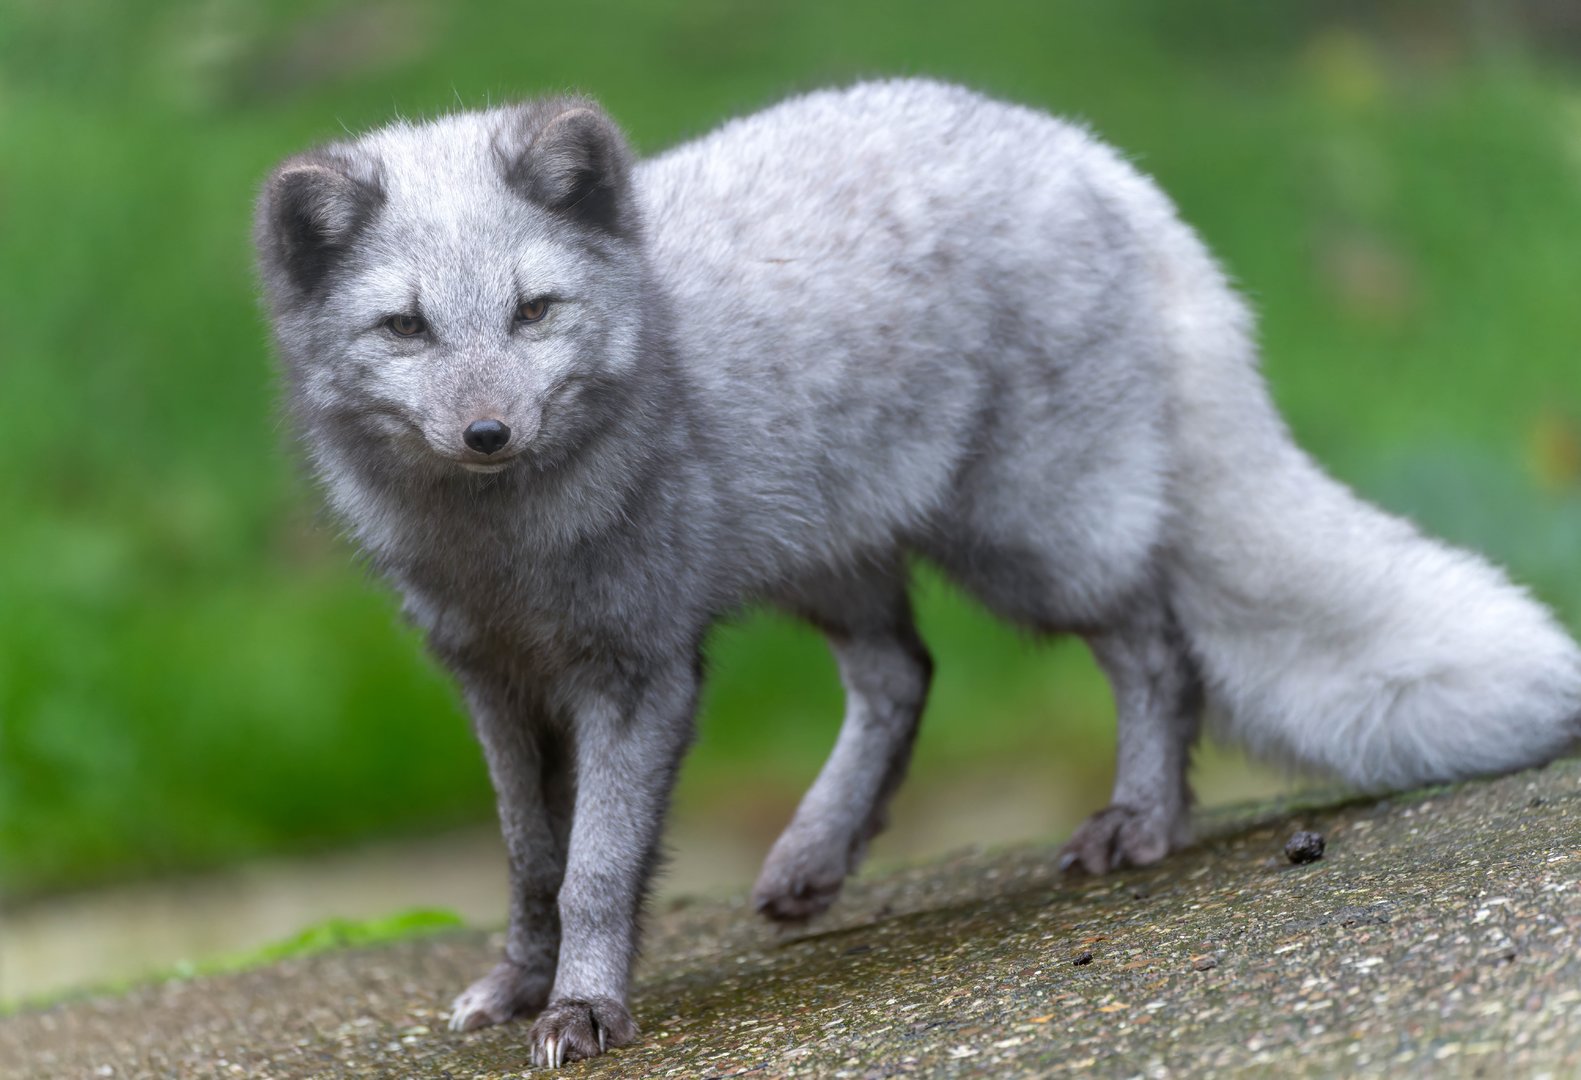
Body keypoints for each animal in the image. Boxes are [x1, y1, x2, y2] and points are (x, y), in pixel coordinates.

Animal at [254, 79, 1581, 1066]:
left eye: (534, 312)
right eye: (406, 329)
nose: (488, 434)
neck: (502, 550)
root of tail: (1091, 156)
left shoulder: (637, 671)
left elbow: (596, 868)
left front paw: (585, 1008)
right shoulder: (491, 681)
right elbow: (531, 864)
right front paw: (518, 990)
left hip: (1034, 543)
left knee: (1155, 648)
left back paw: (1139, 823)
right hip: (833, 559)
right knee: (905, 671)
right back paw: (814, 859)